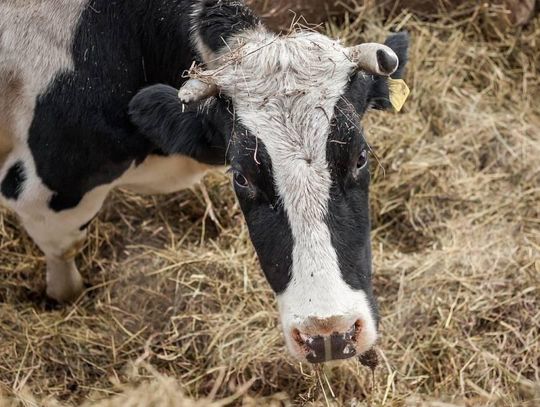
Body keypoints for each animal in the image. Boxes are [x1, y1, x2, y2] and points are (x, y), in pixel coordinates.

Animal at [0, 0, 404, 364]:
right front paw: (62, 297)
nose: (329, 334)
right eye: (241, 176)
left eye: (360, 158)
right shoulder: (44, 192)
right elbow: (63, 252)